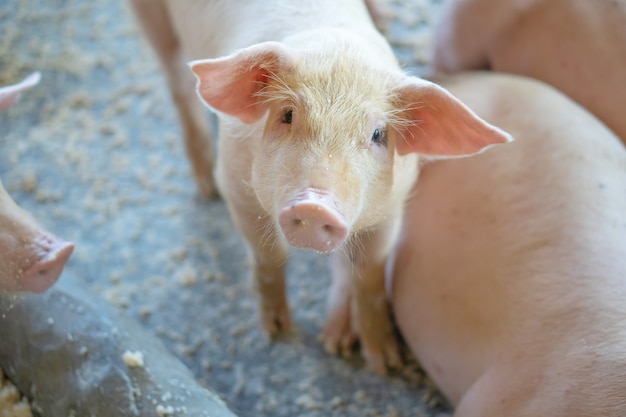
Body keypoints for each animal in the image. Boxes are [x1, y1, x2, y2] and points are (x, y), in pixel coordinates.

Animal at [128, 0, 512, 370]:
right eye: (287, 115)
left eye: (378, 134)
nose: (314, 206)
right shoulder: (236, 187)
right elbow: (268, 256)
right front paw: (278, 332)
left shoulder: (391, 209)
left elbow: (369, 276)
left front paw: (383, 363)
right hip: (153, 18)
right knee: (178, 85)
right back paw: (205, 188)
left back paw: (382, 17)